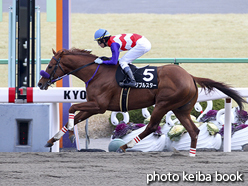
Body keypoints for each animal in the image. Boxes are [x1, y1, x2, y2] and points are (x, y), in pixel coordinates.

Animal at [37, 48, 245, 156]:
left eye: (51, 65)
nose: (40, 83)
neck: (96, 73)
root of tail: (190, 77)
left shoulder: (99, 105)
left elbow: (72, 108)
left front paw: (71, 134)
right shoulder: (93, 106)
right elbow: (75, 116)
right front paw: (51, 140)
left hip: (163, 104)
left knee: (152, 126)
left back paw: (124, 146)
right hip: (181, 109)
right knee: (193, 130)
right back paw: (191, 154)